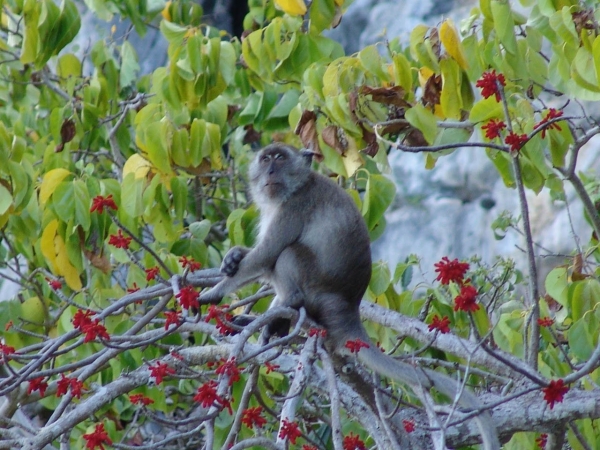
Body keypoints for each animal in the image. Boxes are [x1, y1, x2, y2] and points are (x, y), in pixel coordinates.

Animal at [199, 142, 500, 448]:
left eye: (280, 158)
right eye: (266, 159)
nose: (270, 170)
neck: (296, 187)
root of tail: (348, 308)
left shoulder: (294, 207)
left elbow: (267, 255)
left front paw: (214, 292)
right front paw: (234, 256)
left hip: (316, 287)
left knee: (288, 254)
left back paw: (289, 304)